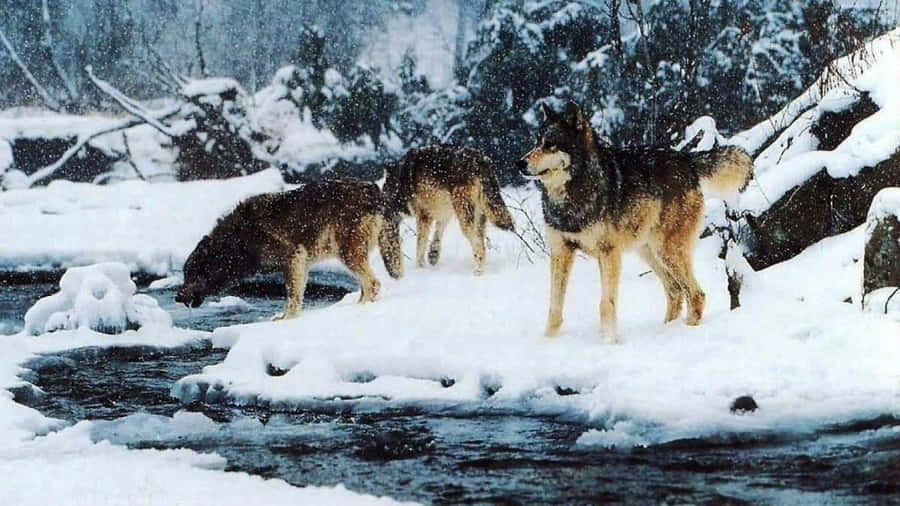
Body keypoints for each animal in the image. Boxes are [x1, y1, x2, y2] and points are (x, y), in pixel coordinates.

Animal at [175, 179, 403, 319]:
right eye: (185, 274)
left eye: (192, 274)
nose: (177, 297)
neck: (239, 241)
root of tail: (374, 190)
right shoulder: (299, 265)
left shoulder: (293, 260)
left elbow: (292, 297)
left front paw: (287, 319)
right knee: (366, 285)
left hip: (348, 254)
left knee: (373, 283)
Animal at [383, 144, 515, 275]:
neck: (400, 182)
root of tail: (481, 160)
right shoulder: (444, 213)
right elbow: (437, 235)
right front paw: (433, 255)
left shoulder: (424, 215)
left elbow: (420, 246)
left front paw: (420, 268)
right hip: (479, 216)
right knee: (482, 245)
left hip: (465, 219)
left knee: (479, 247)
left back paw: (477, 272)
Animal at [519, 101, 752, 341]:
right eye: (536, 143)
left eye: (550, 145)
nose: (519, 163)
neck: (573, 193)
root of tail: (686, 159)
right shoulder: (560, 251)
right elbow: (555, 306)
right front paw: (548, 340)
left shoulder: (608, 253)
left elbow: (606, 304)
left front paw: (609, 341)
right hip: (649, 252)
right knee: (675, 290)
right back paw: (665, 329)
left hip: (667, 251)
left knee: (696, 294)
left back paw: (685, 331)